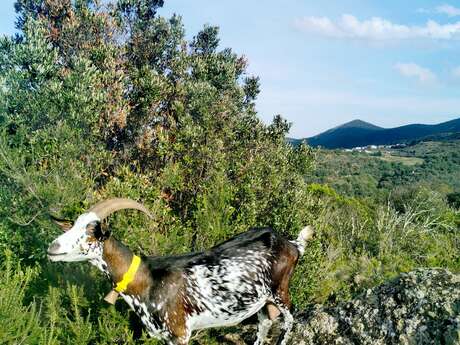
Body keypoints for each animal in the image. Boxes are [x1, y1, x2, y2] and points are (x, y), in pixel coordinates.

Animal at [48, 198, 314, 344]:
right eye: (73, 225)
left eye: (91, 232)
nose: (53, 247)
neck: (148, 279)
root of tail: (292, 244)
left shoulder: (180, 332)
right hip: (260, 300)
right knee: (265, 323)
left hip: (280, 290)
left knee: (289, 319)